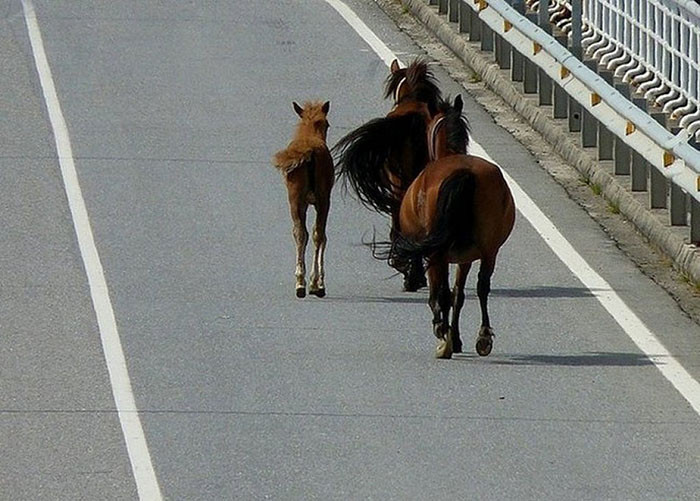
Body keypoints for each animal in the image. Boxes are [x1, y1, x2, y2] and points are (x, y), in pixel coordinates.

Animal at [274, 100, 334, 298]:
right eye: (327, 124)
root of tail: (309, 151)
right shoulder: (322, 200)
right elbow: (320, 235)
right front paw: (318, 283)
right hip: (323, 199)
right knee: (318, 234)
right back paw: (316, 284)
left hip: (295, 199)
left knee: (300, 233)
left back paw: (300, 283)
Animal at [388, 95, 516, 358]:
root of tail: (463, 173)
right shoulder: (465, 257)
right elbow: (459, 294)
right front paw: (455, 338)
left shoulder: (440, 254)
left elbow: (442, 293)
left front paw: (445, 333)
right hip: (489, 250)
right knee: (482, 286)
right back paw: (483, 336)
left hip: (438, 252)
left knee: (443, 293)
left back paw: (443, 336)